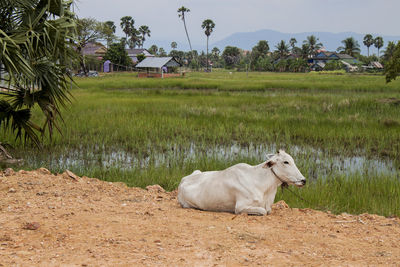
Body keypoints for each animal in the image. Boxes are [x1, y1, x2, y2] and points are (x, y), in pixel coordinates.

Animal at [178, 150, 306, 217]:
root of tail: (183, 180)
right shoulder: (240, 207)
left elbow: (268, 210)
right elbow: (263, 211)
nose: (303, 180)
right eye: (286, 162)